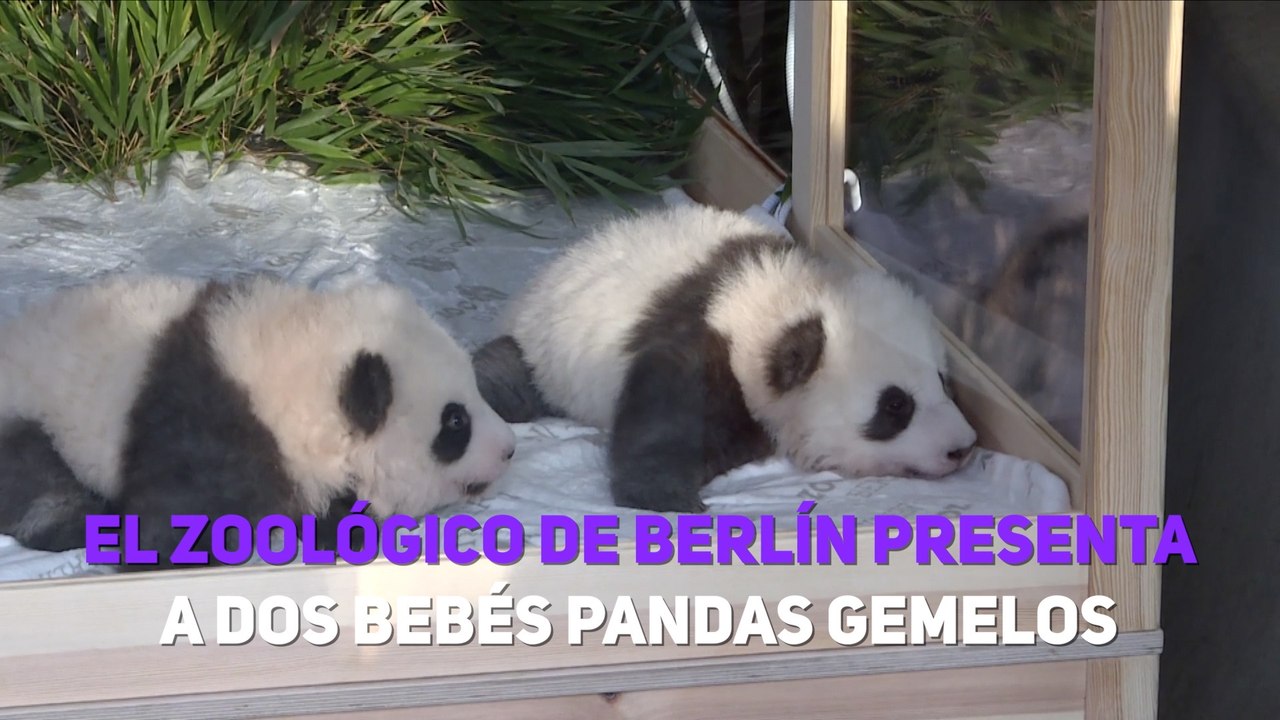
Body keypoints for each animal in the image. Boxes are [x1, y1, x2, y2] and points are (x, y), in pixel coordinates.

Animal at [0, 273, 517, 569]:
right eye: (455, 423)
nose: (509, 449)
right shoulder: (207, 426)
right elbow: (180, 515)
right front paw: (160, 558)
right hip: (29, 411)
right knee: (38, 483)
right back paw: (80, 520)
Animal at [473, 203, 980, 513]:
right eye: (896, 406)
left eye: (943, 381)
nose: (963, 447)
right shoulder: (706, 339)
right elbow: (668, 417)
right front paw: (667, 499)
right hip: (546, 349)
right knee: (506, 380)